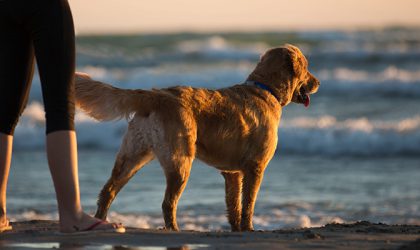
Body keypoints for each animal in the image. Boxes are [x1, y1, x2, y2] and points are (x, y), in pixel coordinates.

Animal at [74, 44, 318, 231]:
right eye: (306, 68)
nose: (318, 83)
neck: (266, 89)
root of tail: (156, 95)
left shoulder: (232, 173)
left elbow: (234, 205)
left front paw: (236, 228)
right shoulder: (255, 167)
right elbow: (248, 203)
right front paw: (248, 228)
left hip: (132, 156)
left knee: (108, 191)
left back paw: (101, 221)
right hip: (180, 161)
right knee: (167, 203)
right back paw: (173, 229)